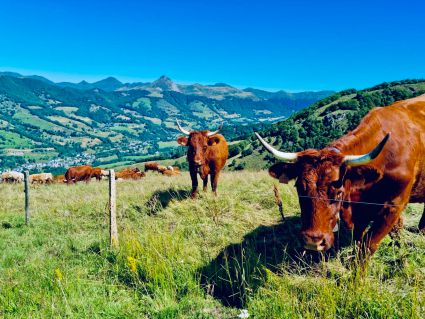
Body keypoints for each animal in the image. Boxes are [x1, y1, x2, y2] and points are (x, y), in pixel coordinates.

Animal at [255, 94, 424, 255]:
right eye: (298, 188)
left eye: (338, 192)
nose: (313, 242)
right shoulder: (360, 211)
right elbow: (358, 240)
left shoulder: (394, 206)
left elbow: (368, 245)